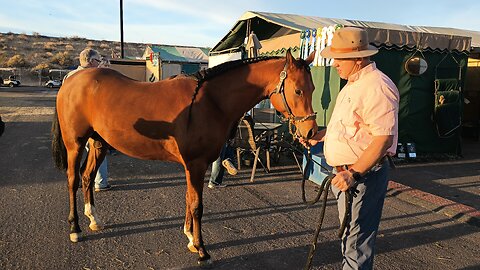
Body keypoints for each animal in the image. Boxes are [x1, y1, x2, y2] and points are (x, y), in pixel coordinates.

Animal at [51, 49, 318, 266]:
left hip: (98, 143)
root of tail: (70, 81)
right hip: (75, 144)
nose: (311, 132)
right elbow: (197, 205)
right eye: (297, 90)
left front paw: (190, 238)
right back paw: (75, 228)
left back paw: (94, 219)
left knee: (87, 177)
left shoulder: (193, 167)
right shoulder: (195, 164)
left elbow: (189, 199)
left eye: (313, 89)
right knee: (73, 179)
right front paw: (201, 249)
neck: (210, 101)